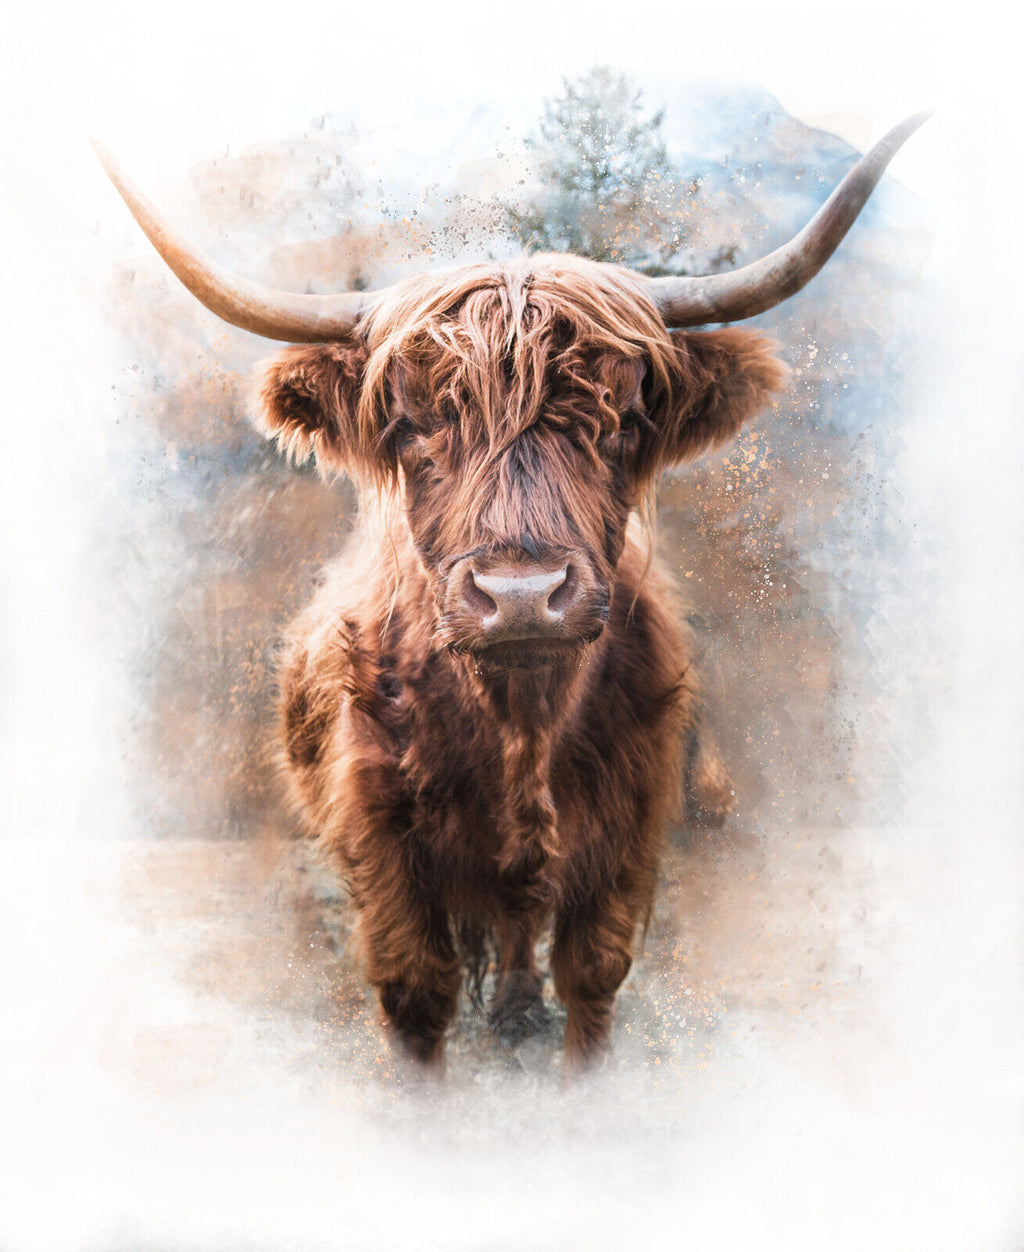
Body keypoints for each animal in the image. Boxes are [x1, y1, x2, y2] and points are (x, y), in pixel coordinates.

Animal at [98, 113, 926, 1073]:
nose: (523, 594)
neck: (520, 722)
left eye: (624, 419)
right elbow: (416, 993)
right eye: (410, 423)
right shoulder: (382, 846)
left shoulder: (627, 836)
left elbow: (592, 980)